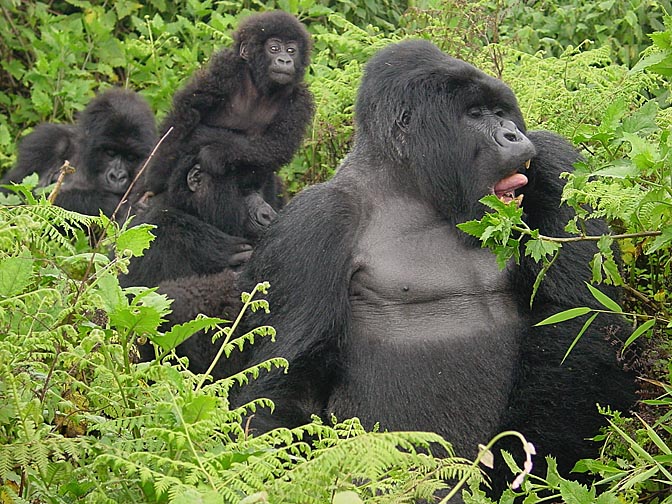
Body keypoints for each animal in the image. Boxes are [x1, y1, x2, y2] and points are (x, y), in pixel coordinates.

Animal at [234, 39, 636, 488]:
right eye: (474, 115)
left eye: (501, 112)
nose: (513, 135)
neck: (411, 188)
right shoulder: (310, 224)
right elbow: (286, 383)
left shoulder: (553, 158)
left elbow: (578, 316)